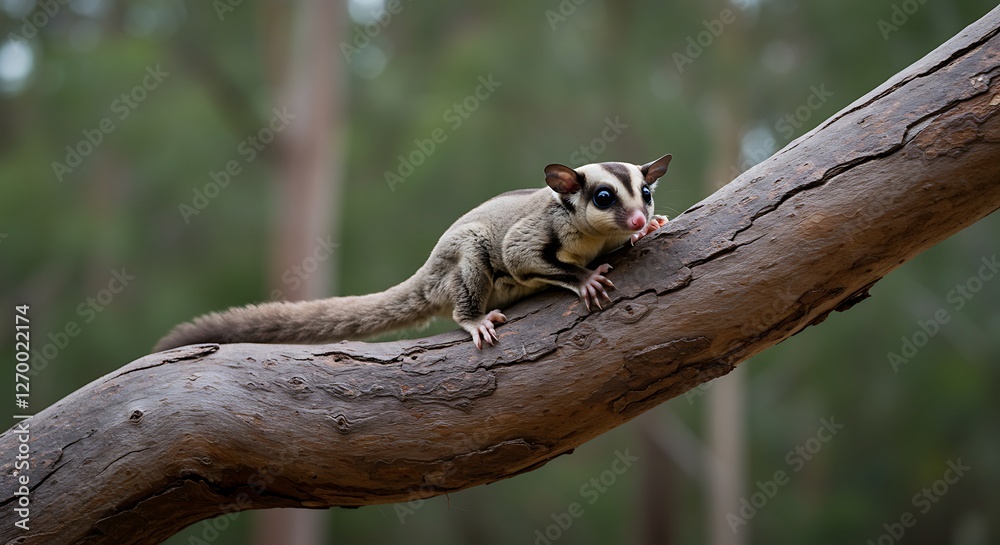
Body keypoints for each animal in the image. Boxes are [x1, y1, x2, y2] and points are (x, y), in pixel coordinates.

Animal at [154, 154, 671, 351]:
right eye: (603, 198)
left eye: (645, 193)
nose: (637, 219)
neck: (593, 235)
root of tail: (426, 273)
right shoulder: (541, 228)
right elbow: (520, 255)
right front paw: (584, 279)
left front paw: (653, 228)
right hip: (457, 265)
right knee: (476, 255)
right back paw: (473, 318)